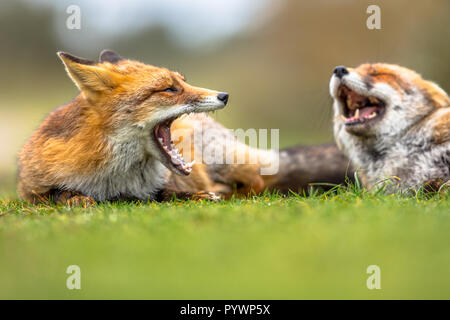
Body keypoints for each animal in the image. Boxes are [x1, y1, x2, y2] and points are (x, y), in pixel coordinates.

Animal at [19, 50, 352, 205]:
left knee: (255, 183)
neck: (117, 178)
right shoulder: (31, 187)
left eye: (183, 81)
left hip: (225, 159)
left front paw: (200, 197)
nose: (224, 95)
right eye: (169, 89)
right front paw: (77, 199)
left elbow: (170, 194)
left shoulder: (162, 186)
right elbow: (56, 195)